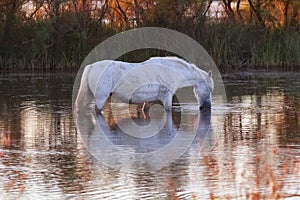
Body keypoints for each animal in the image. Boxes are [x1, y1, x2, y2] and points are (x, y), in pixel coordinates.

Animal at [75, 56, 213, 112]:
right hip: (100, 98)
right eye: (209, 89)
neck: (171, 71)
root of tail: (91, 66)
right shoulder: (167, 98)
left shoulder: (149, 102)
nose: (207, 106)